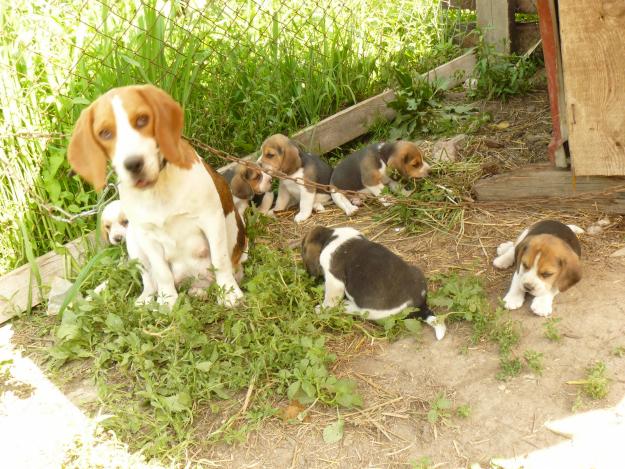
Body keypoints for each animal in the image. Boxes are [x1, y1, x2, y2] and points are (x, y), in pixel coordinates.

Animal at [66, 85, 246, 308]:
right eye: (105, 133)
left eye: (142, 120)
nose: (133, 164)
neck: (156, 189)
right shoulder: (147, 235)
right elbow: (161, 273)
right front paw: (168, 301)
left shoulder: (211, 219)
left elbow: (220, 260)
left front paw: (229, 293)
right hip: (133, 240)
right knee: (149, 279)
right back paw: (149, 298)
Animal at [302, 225, 444, 338]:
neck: (331, 236)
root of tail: (420, 303)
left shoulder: (334, 280)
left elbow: (330, 300)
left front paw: (321, 309)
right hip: (416, 271)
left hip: (370, 311)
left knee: (358, 311)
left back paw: (347, 305)